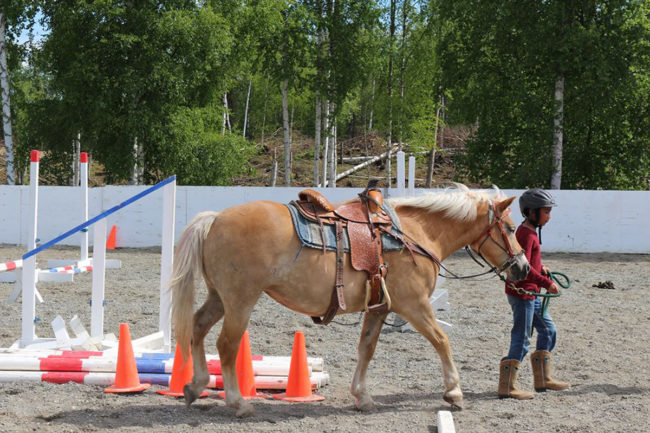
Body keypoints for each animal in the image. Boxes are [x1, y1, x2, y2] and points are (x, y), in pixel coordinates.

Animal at [170, 184, 530, 417]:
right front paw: (454, 392)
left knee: (198, 328)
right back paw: (238, 402)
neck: (415, 234)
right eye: (512, 228)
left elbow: (366, 348)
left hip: (219, 298)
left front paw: (362, 396)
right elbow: (442, 340)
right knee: (227, 345)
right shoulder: (413, 305)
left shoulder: (381, 308)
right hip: (240, 300)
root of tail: (215, 219)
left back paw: (195, 385)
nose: (524, 268)